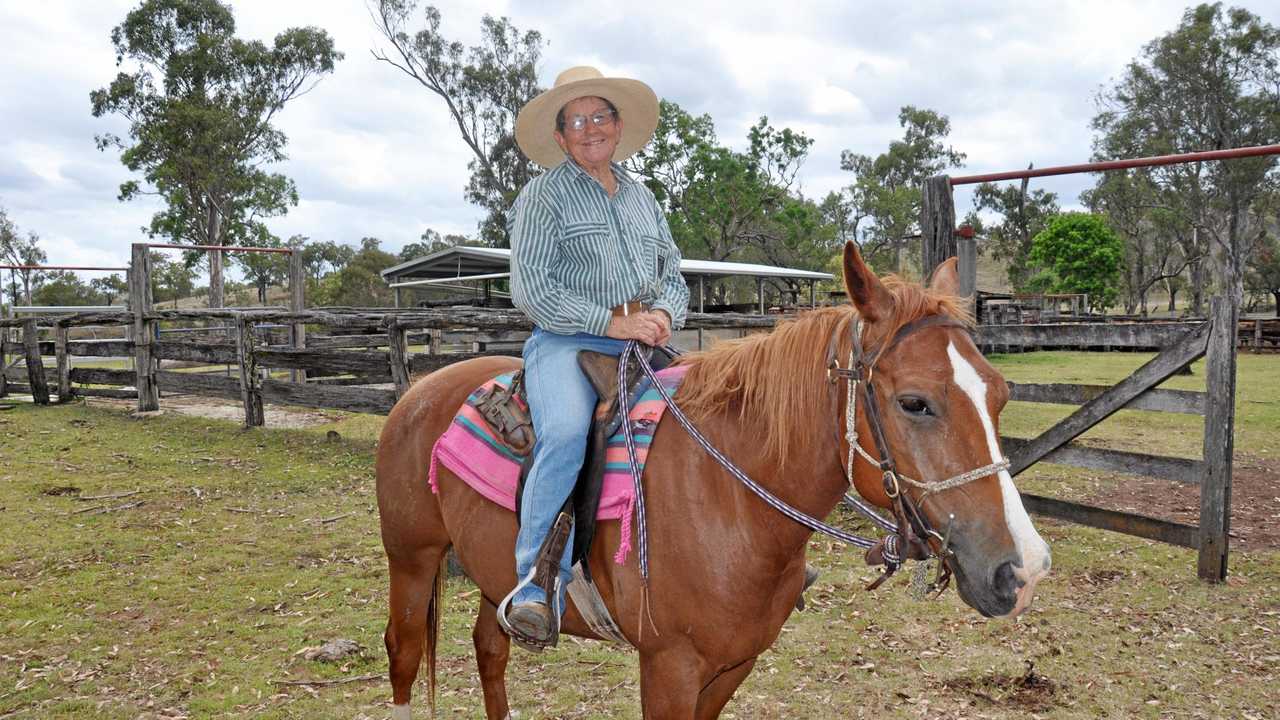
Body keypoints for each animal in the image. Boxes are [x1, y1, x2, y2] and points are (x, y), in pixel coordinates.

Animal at [373, 242, 1049, 717]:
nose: (1022, 569)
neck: (730, 502)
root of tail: (421, 390)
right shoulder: (669, 667)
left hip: (493, 578)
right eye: (914, 402)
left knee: (491, 651)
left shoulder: (732, 665)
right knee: (403, 656)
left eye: (1000, 393)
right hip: (412, 560)